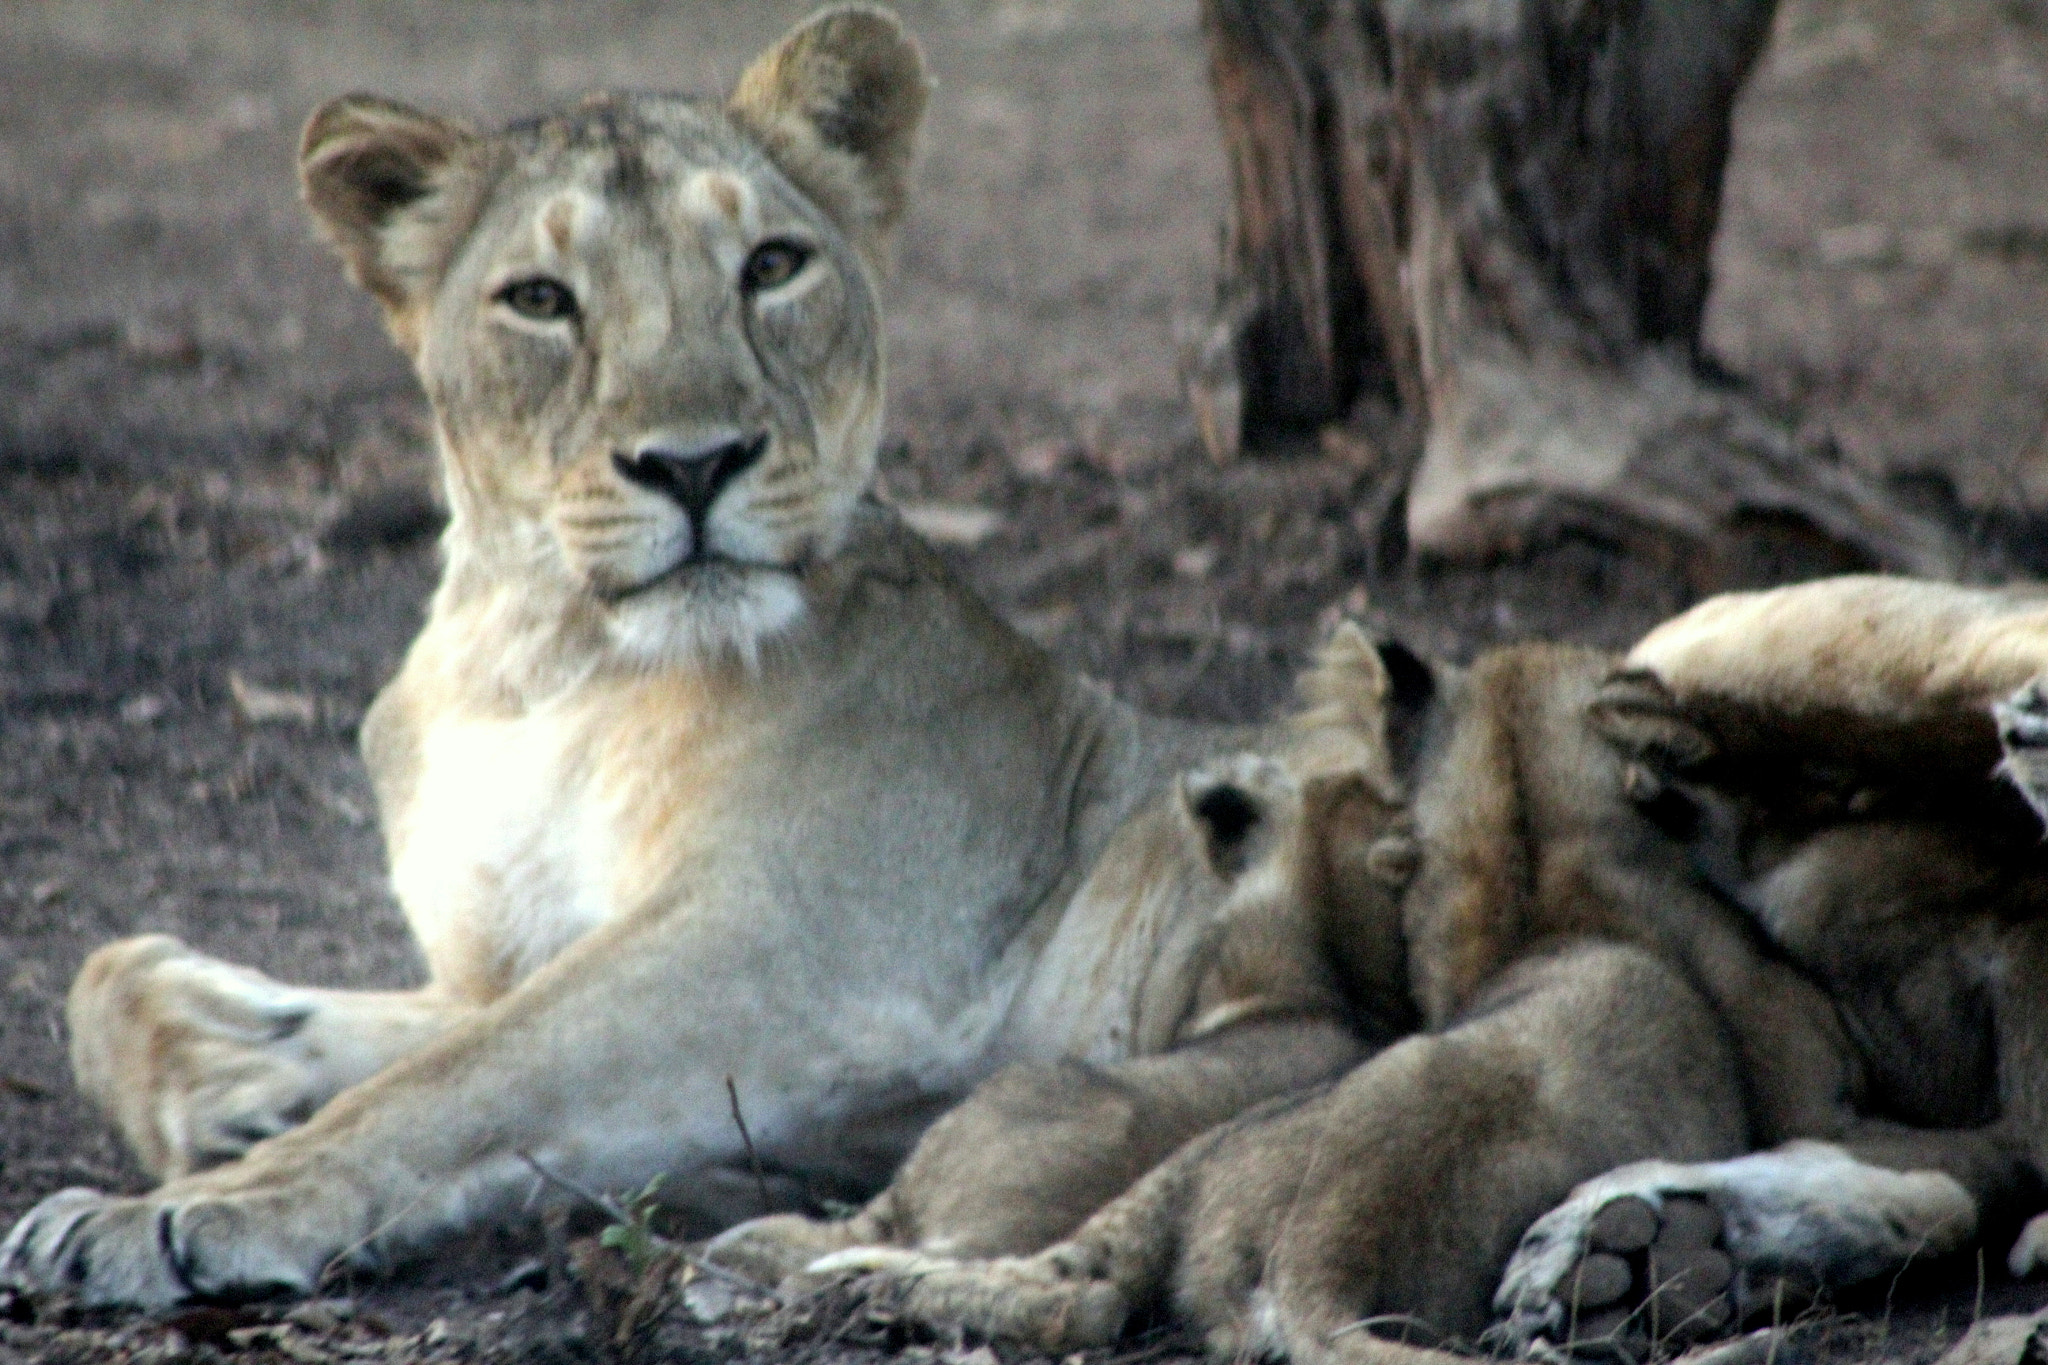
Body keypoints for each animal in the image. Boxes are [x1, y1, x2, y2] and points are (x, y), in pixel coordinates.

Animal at [0, 7, 1395, 1307]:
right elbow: (119, 976)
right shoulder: (511, 955)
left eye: (770, 266)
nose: (693, 463)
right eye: (540, 299)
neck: (542, 663)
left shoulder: (792, 938)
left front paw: (184, 1207)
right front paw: (231, 1067)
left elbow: (456, 1081)